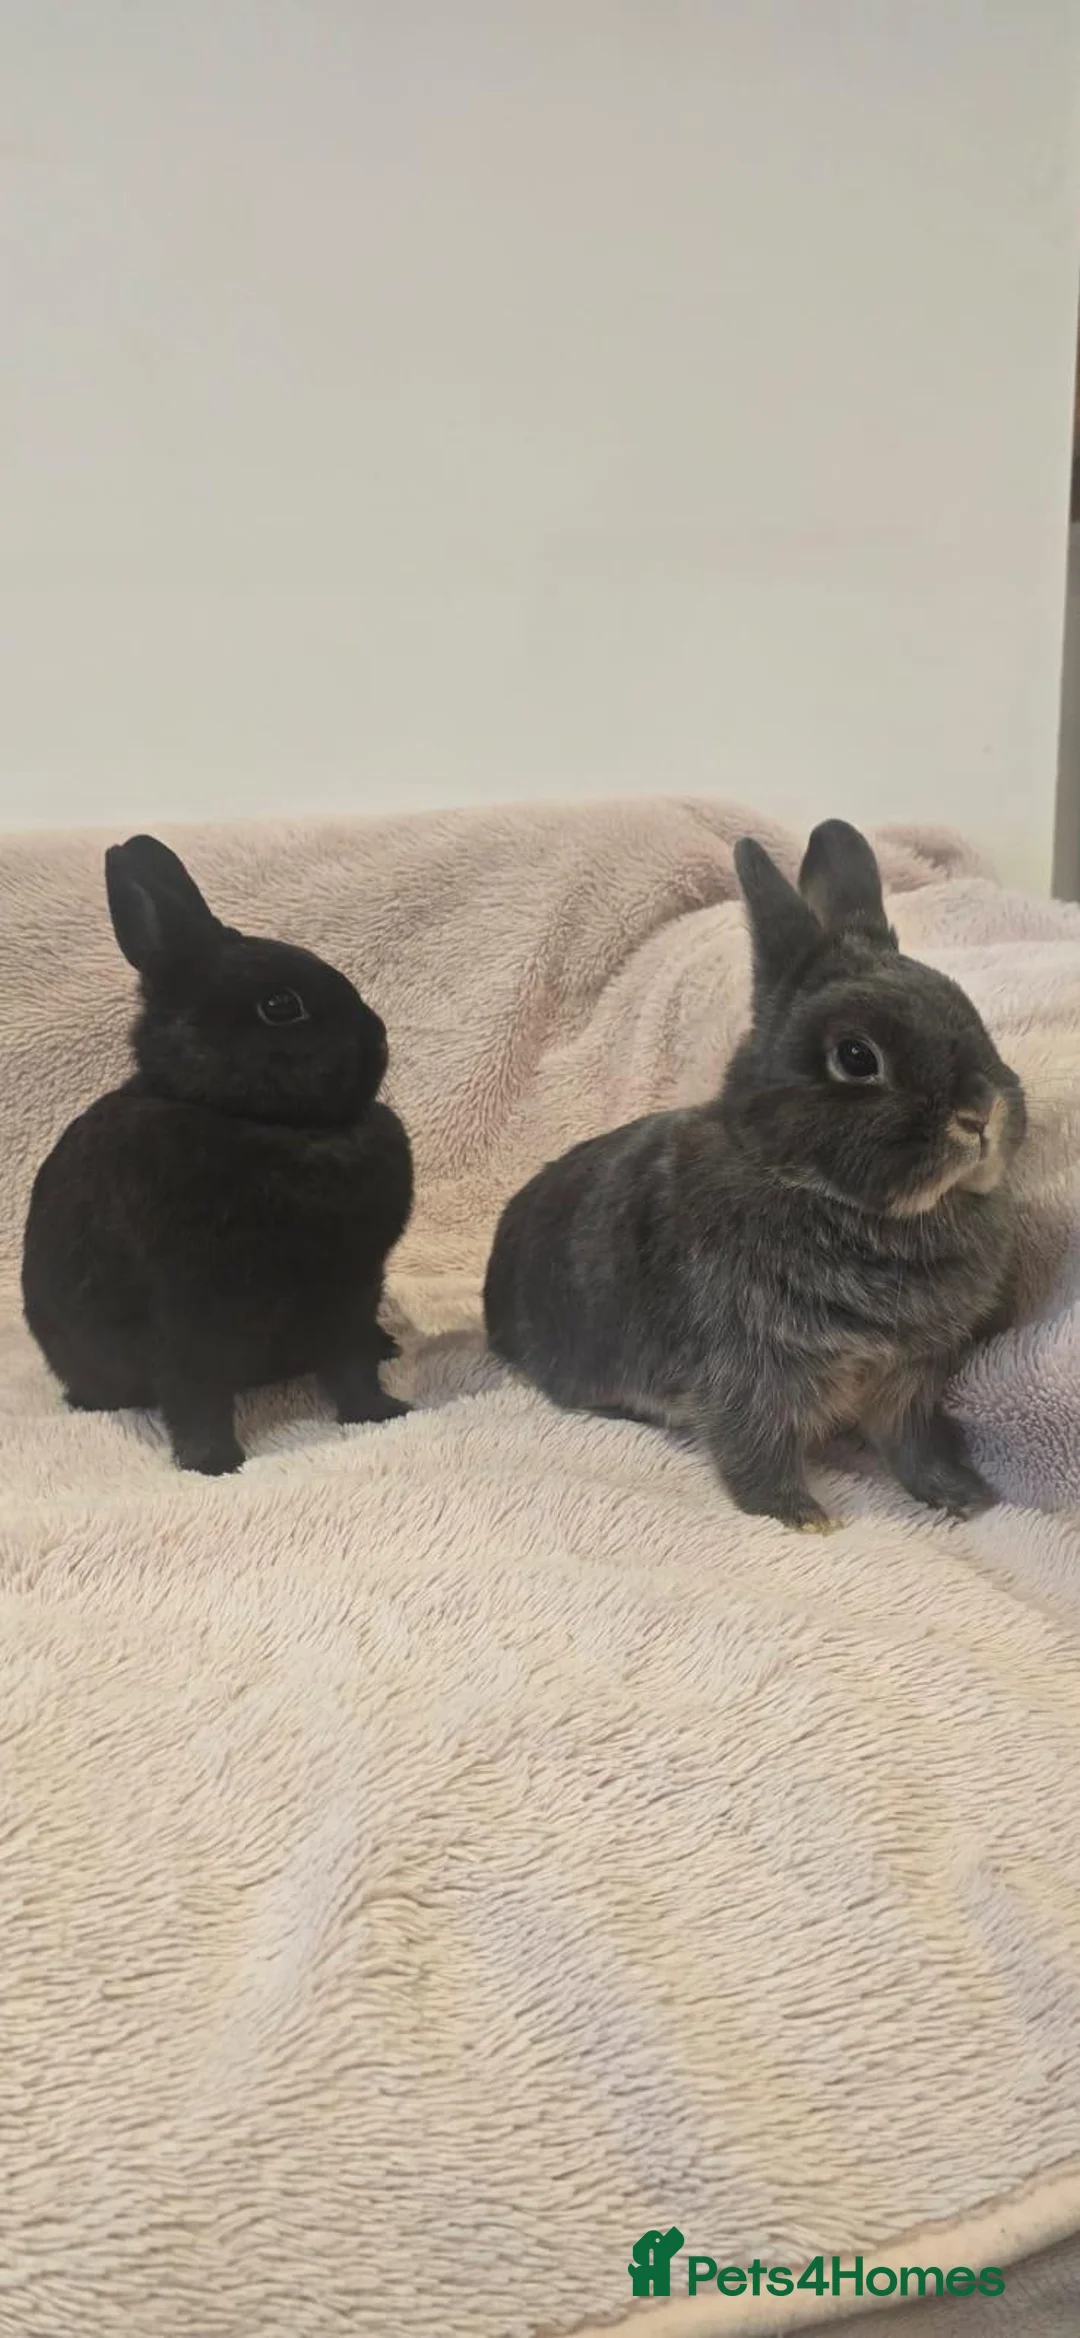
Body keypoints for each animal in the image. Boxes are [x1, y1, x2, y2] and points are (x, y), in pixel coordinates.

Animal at [22, 835, 413, 1476]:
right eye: (280, 1005)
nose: (378, 1037)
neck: (264, 1123)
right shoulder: (189, 1315)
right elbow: (196, 1395)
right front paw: (214, 1463)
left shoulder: (351, 1289)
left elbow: (352, 1366)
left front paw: (381, 1413)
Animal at [483, 819, 1027, 1532]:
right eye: (857, 1057)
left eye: (969, 1010)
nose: (981, 1114)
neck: (810, 1186)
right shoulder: (750, 1366)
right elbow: (755, 1445)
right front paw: (801, 1516)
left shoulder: (910, 1378)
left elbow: (914, 1445)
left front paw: (962, 1497)